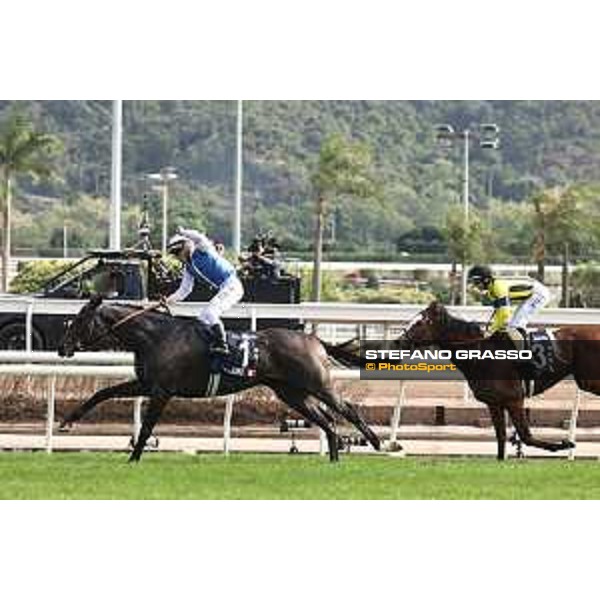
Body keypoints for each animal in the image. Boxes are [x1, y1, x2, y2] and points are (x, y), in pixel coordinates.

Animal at [57, 298, 380, 462]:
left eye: (81, 319)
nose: (62, 348)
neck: (155, 336)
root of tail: (314, 339)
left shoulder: (162, 390)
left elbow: (147, 427)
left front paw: (133, 459)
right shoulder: (146, 384)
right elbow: (102, 393)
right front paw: (67, 422)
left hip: (316, 384)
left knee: (346, 409)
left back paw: (378, 443)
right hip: (292, 393)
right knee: (327, 421)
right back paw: (334, 461)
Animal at [400, 300, 600, 460]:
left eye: (420, 322)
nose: (399, 341)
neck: (481, 354)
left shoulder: (514, 399)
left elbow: (526, 436)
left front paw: (565, 444)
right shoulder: (494, 403)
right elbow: (501, 436)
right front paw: (501, 459)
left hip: (588, 380)